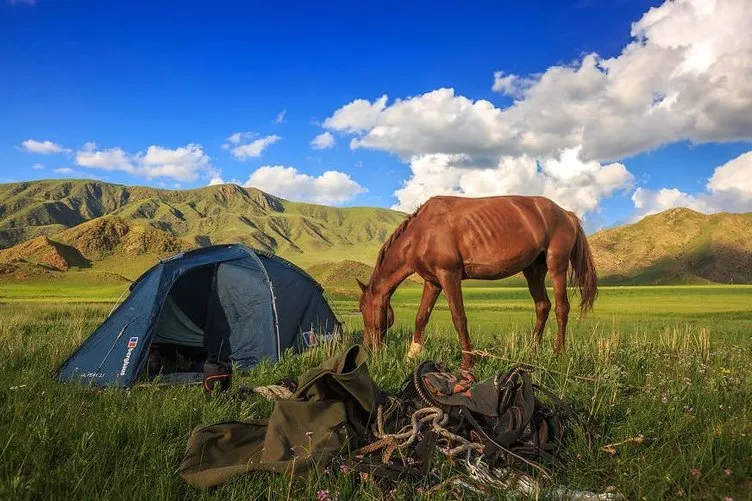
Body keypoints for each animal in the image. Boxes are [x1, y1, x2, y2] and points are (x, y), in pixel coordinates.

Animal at [358, 193, 600, 370]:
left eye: (361, 309)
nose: (369, 352)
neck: (422, 233)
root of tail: (566, 214)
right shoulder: (433, 282)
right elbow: (421, 317)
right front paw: (412, 355)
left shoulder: (449, 275)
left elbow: (459, 318)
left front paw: (468, 362)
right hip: (534, 271)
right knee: (543, 306)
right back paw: (532, 352)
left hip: (556, 266)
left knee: (561, 308)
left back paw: (559, 354)